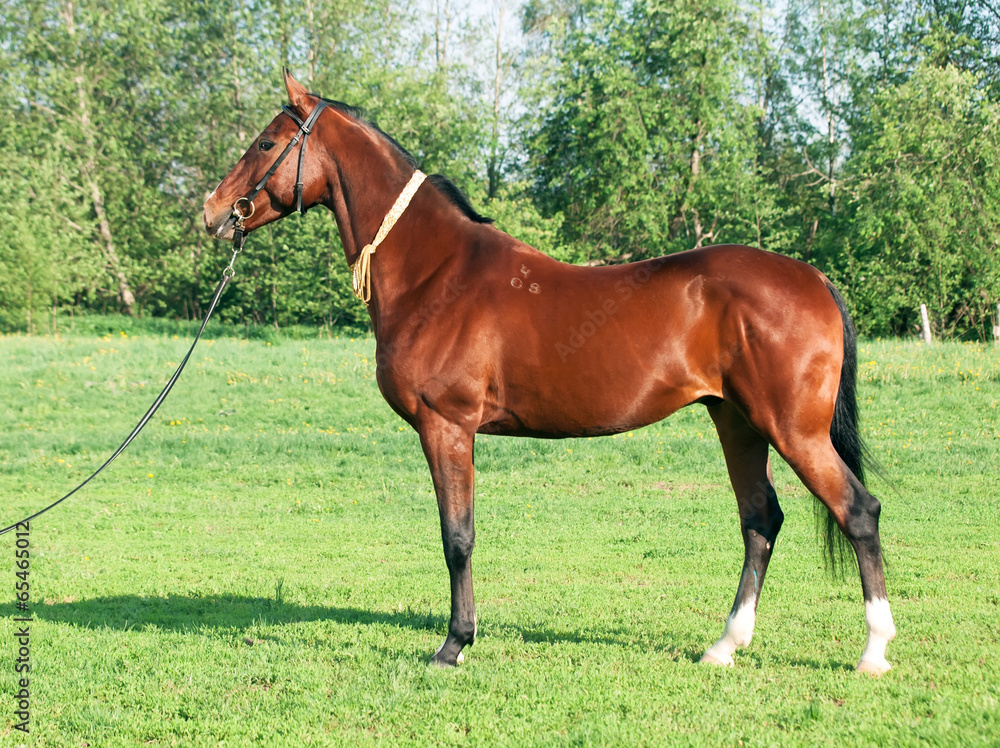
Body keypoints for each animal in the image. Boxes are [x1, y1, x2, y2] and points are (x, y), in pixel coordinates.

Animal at [205, 70, 900, 676]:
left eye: (265, 142)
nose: (213, 212)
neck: (437, 273)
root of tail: (813, 279)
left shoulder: (447, 426)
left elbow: (457, 536)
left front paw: (454, 645)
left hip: (792, 429)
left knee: (858, 511)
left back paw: (873, 651)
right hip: (738, 423)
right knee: (760, 521)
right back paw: (725, 646)